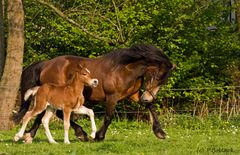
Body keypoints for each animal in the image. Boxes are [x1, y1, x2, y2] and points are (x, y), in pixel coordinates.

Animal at [13, 43, 174, 142]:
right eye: (156, 76)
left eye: (162, 81)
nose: (147, 97)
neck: (125, 69)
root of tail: (46, 64)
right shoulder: (112, 97)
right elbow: (108, 117)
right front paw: (98, 136)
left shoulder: (133, 95)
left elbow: (151, 107)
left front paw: (160, 132)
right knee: (53, 113)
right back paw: (81, 134)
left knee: (42, 115)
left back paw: (29, 136)